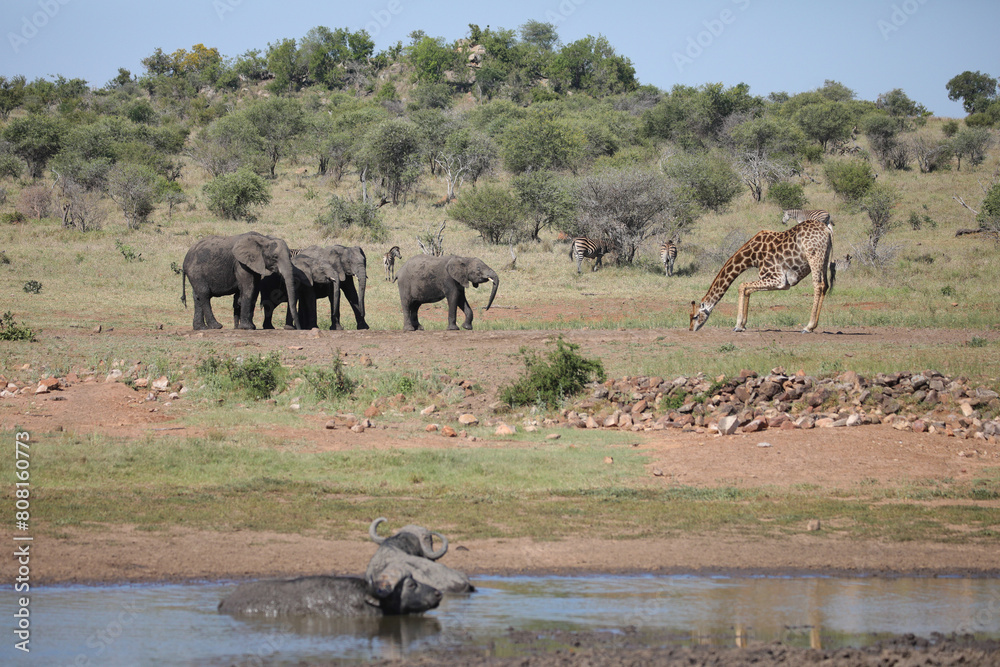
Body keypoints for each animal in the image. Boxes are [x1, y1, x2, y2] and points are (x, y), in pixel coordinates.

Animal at [688, 219, 836, 334]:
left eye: (695, 316)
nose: (691, 329)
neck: (752, 256)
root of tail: (827, 230)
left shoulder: (779, 279)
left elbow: (742, 286)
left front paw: (737, 325)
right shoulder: (779, 282)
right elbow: (748, 289)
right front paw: (742, 325)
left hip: (814, 256)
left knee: (818, 285)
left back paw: (808, 327)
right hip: (824, 257)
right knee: (825, 285)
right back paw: (813, 326)